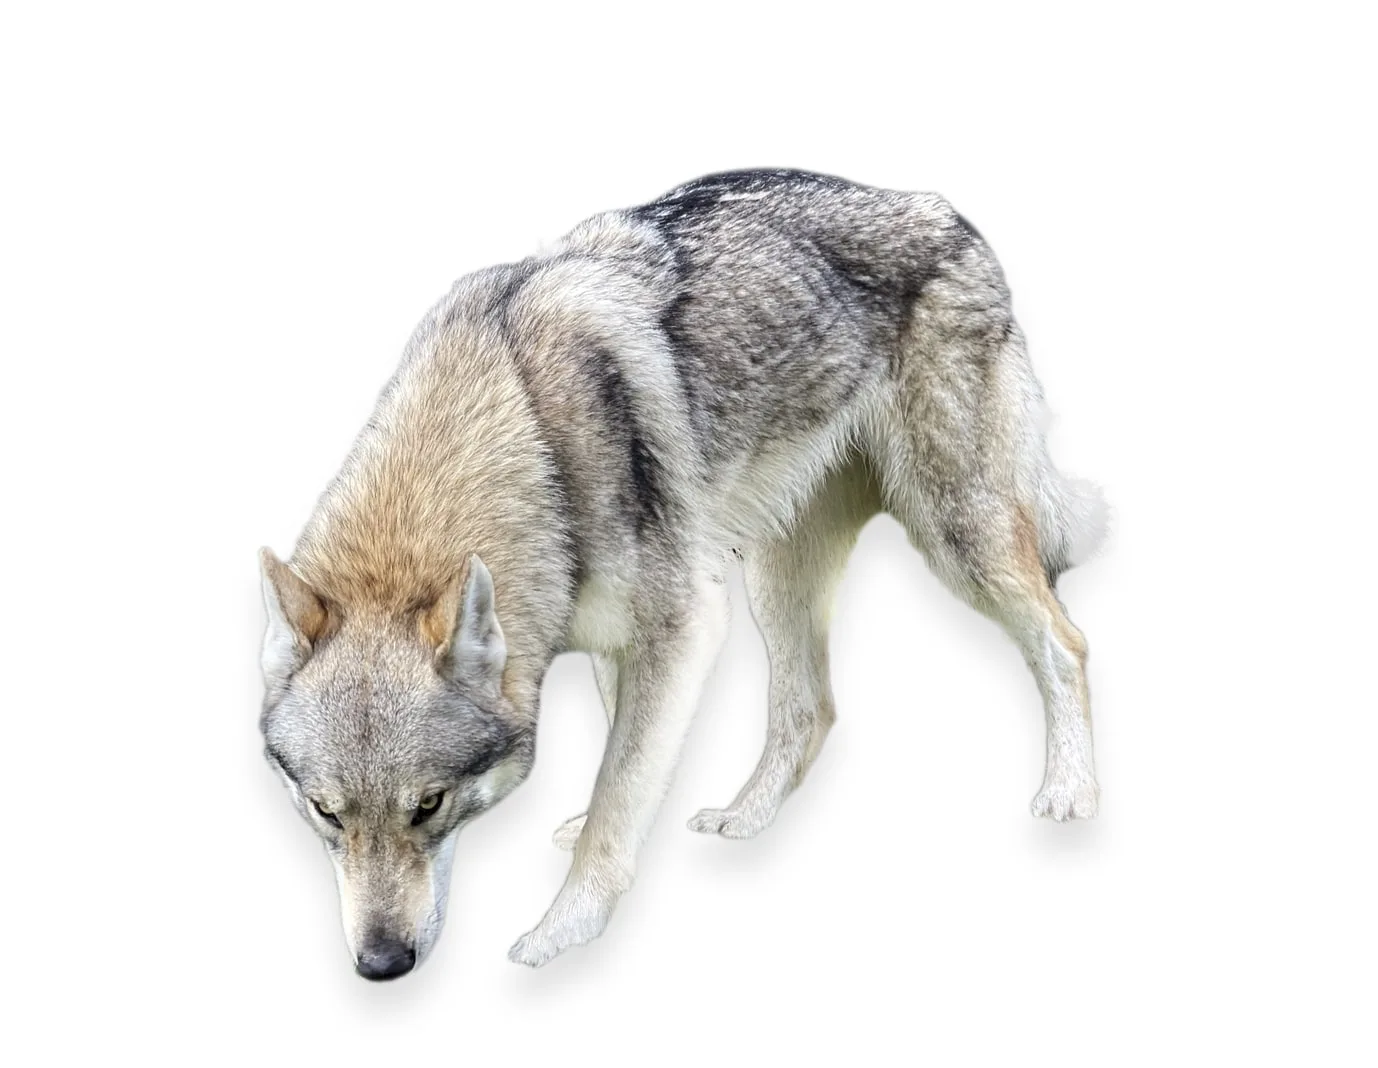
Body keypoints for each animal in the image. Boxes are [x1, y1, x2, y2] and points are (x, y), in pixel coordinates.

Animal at [259, 168, 1106, 978]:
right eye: (326, 813)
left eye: (429, 805)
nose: (381, 966)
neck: (523, 428)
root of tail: (943, 209)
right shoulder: (622, 638)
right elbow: (619, 765)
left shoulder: (682, 624)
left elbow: (618, 792)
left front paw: (560, 932)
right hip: (774, 576)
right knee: (810, 709)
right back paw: (745, 818)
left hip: (955, 534)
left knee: (1065, 640)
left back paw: (1070, 793)